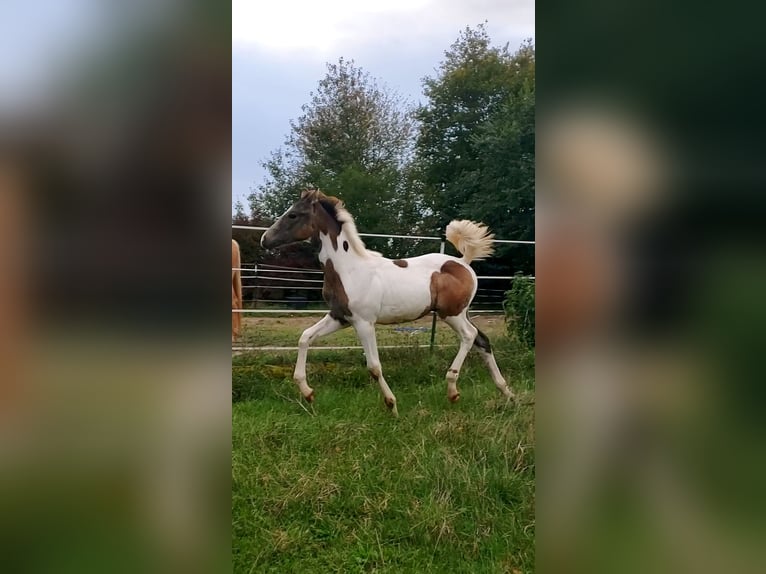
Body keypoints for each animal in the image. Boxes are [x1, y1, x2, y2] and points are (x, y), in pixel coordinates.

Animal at [260, 191, 520, 416]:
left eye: (293, 214)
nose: (264, 240)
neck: (349, 269)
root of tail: (464, 262)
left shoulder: (364, 322)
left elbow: (374, 367)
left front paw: (392, 406)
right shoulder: (339, 317)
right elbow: (305, 337)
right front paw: (307, 393)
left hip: (452, 314)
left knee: (469, 336)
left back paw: (453, 389)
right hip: (461, 313)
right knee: (482, 340)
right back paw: (507, 393)